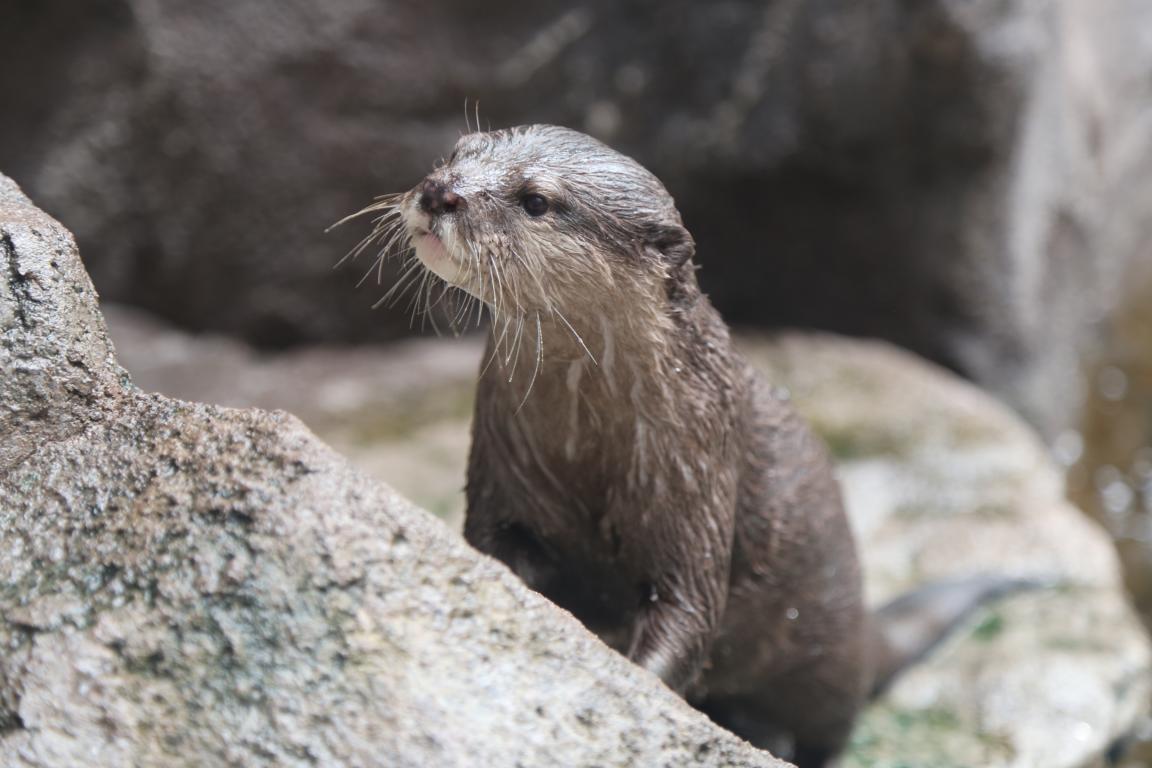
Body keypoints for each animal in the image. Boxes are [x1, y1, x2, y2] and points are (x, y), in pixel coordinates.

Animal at [346, 125, 1021, 767]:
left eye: (536, 200)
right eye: (457, 152)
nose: (441, 192)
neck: (589, 445)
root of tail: (860, 622)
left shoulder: (697, 482)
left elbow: (688, 613)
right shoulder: (504, 470)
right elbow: (496, 551)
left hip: (825, 667)